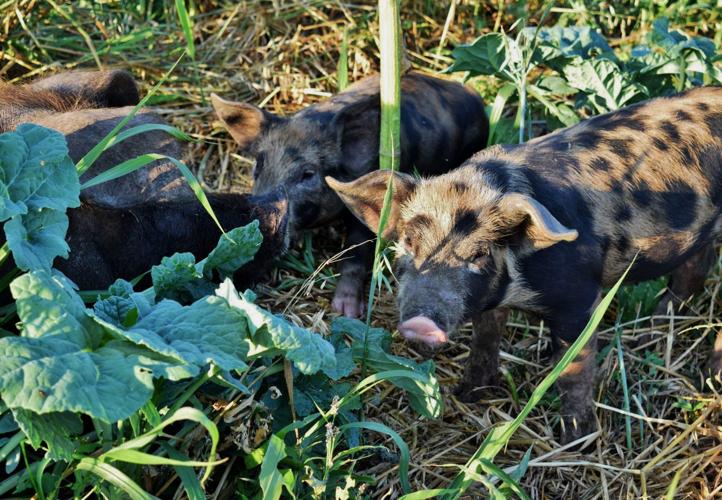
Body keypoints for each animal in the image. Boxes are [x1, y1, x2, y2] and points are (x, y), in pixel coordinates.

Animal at [327, 85, 722, 443]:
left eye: (479, 253)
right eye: (409, 242)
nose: (420, 323)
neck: (518, 291)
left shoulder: (581, 299)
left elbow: (574, 369)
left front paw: (576, 439)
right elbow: (485, 340)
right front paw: (468, 393)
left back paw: (710, 375)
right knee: (696, 266)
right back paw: (657, 323)